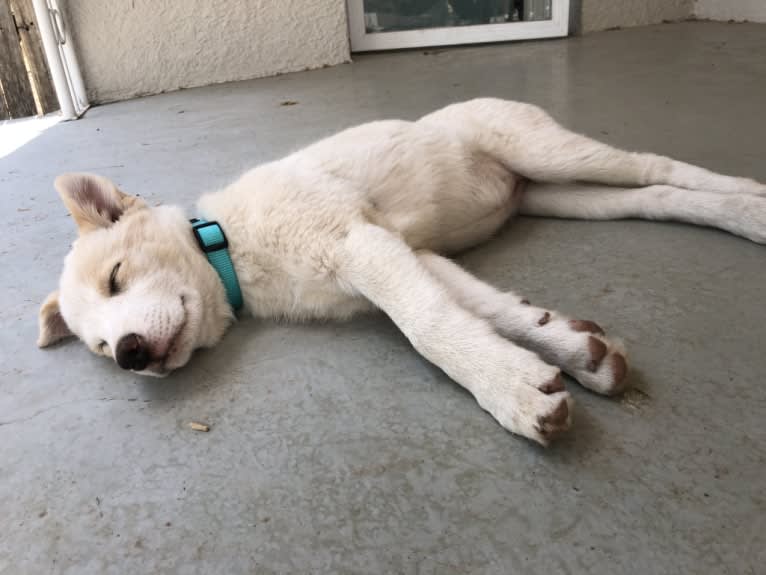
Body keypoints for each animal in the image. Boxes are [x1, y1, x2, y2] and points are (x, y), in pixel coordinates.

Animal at [37, 99, 766, 446]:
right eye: (100, 347)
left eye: (116, 277)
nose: (131, 354)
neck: (229, 246)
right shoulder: (411, 256)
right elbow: (490, 310)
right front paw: (571, 351)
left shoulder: (364, 247)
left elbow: (431, 327)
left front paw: (509, 391)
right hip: (561, 195)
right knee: (656, 195)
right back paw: (737, 213)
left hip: (549, 151)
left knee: (657, 167)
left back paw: (751, 201)